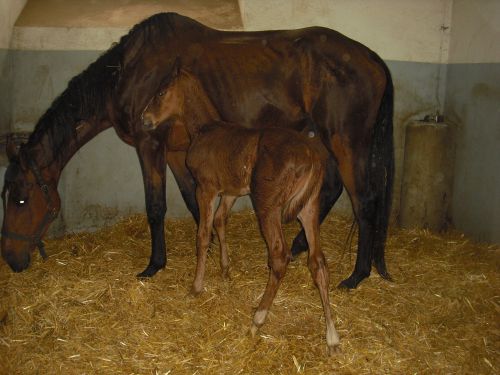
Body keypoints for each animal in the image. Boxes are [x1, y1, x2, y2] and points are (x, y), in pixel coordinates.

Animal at [143, 67, 342, 356]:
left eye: (160, 92)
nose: (144, 119)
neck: (204, 129)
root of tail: (311, 157)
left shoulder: (205, 188)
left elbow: (203, 235)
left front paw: (196, 287)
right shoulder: (231, 192)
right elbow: (220, 221)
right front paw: (225, 270)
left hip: (268, 207)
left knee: (279, 257)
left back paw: (256, 320)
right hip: (309, 207)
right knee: (317, 261)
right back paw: (332, 337)